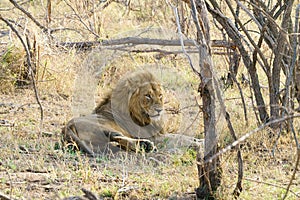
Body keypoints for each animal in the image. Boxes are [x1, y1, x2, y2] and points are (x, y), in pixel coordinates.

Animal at [61, 69, 203, 155]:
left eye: (160, 95)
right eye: (148, 96)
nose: (159, 109)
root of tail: (66, 128)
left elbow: (182, 136)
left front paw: (199, 140)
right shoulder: (154, 136)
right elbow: (178, 138)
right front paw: (198, 144)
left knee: (116, 143)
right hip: (103, 127)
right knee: (118, 138)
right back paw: (147, 146)